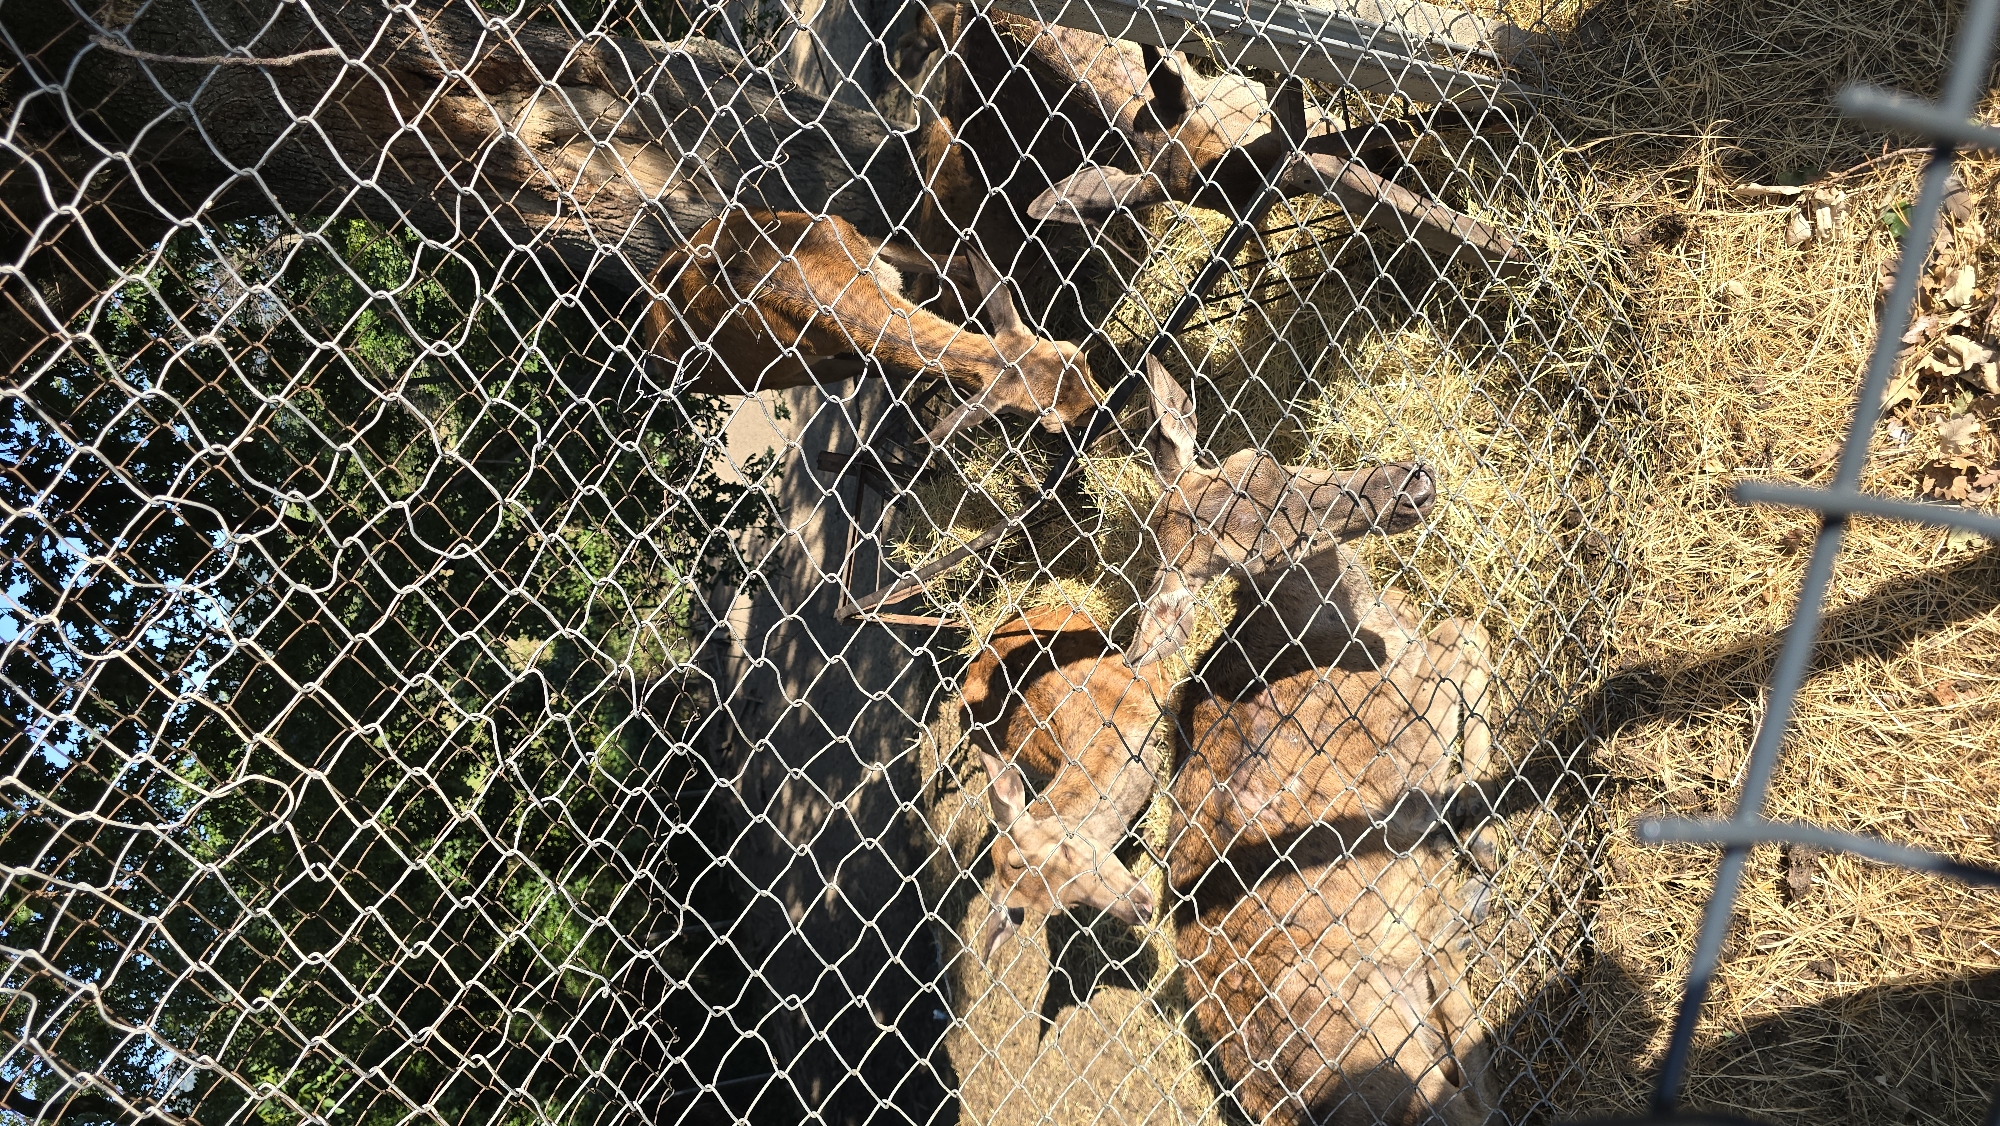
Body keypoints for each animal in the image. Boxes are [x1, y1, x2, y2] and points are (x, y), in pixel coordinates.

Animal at [641, 207, 1102, 443]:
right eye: (1048, 419)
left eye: (1079, 356)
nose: (1101, 408)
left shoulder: (859, 244)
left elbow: (941, 260)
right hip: (776, 375)